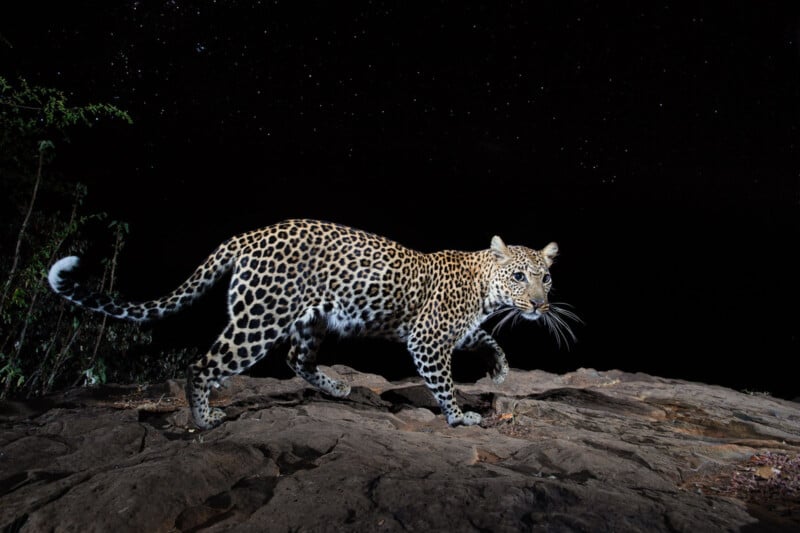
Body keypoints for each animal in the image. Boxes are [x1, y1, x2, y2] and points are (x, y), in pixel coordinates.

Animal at [48, 219, 577, 429]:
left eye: (546, 277)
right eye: (519, 276)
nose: (539, 305)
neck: (484, 289)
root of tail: (245, 237)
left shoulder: (455, 330)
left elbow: (483, 338)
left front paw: (499, 369)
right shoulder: (427, 339)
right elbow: (443, 382)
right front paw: (460, 416)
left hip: (310, 318)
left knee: (295, 357)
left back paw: (338, 388)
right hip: (260, 319)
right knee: (203, 364)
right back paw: (205, 418)